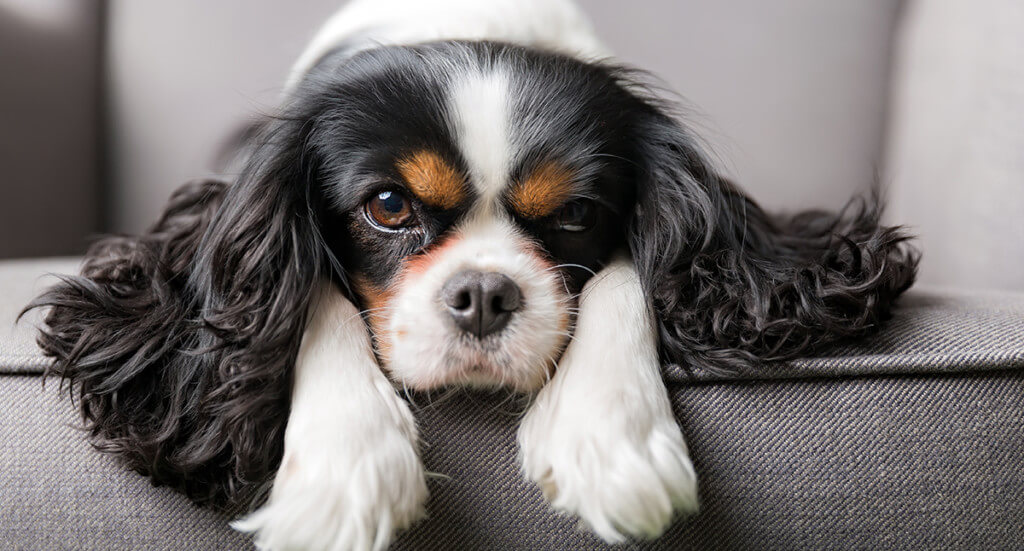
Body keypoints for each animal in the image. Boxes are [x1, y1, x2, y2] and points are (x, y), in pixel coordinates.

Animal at [32, 1, 917, 548]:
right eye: (389, 206)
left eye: (575, 213)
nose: (485, 294)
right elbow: (314, 290)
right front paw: (346, 467)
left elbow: (626, 273)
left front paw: (611, 434)